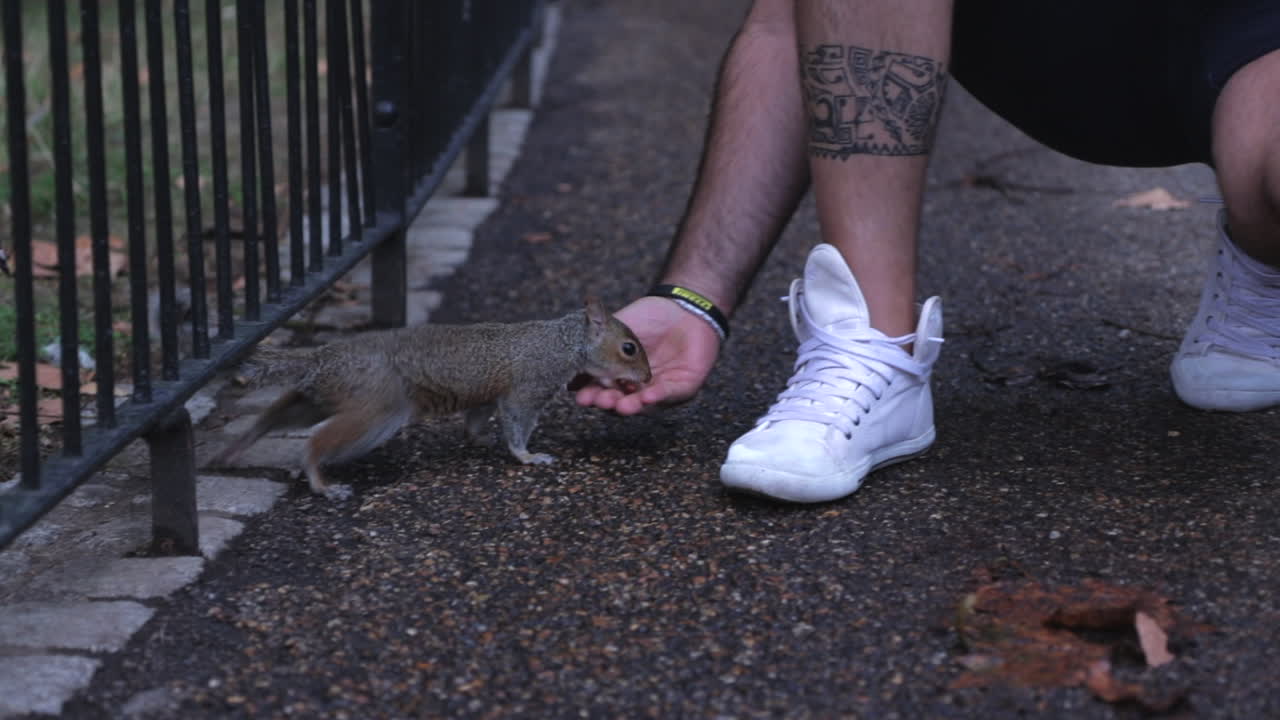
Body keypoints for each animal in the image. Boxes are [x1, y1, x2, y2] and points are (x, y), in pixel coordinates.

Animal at [212, 298, 651, 498]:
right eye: (629, 348)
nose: (647, 378)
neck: (561, 343)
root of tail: (324, 358)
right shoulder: (527, 389)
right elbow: (516, 423)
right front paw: (527, 456)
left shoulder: (487, 395)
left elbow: (478, 419)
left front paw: (479, 440)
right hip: (376, 411)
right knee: (316, 443)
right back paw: (322, 484)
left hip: (318, 397)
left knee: (275, 416)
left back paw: (234, 450)